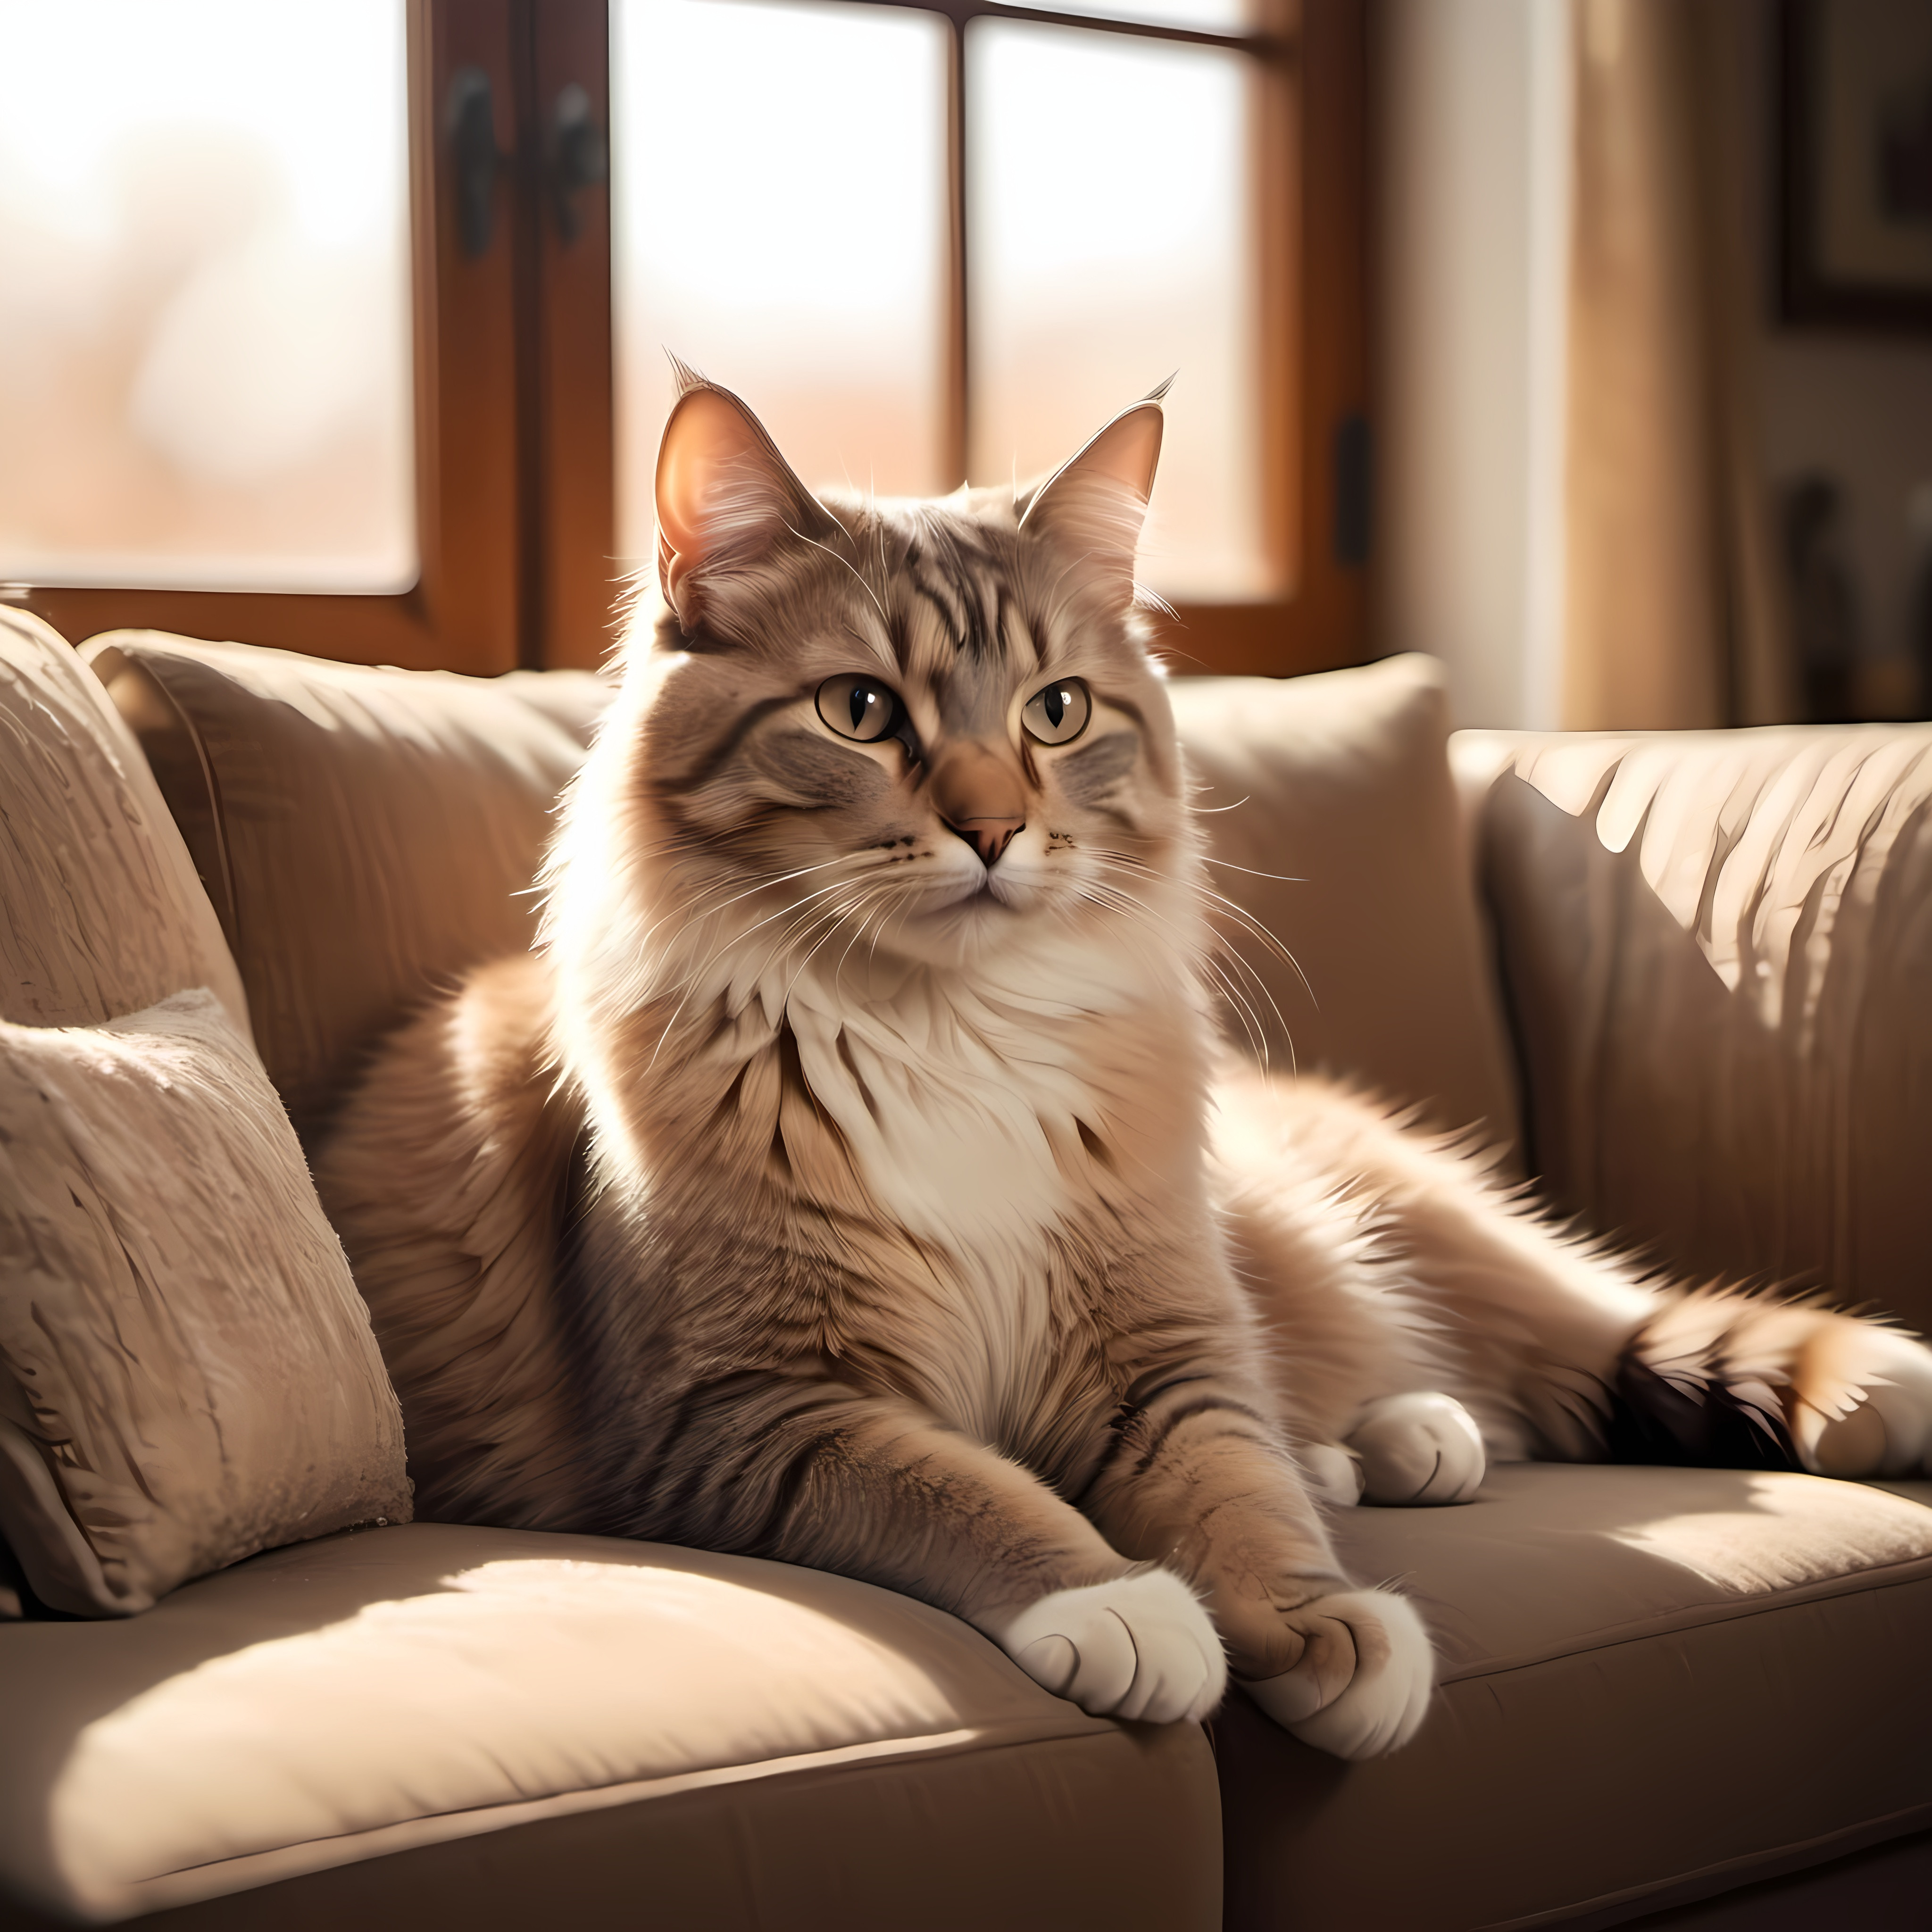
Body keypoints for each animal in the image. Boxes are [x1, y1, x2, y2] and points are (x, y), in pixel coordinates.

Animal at [313, 369, 1932, 1762]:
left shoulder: (1160, 1346)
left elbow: (1235, 1489)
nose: (990, 828)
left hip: (1393, 1229)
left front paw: (1326, 1629)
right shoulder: (750, 1413)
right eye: (860, 712)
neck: (943, 1027)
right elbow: (966, 1490)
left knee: (1590, 1327)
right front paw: (1123, 1603)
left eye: (1058, 712)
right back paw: (1399, 1443)